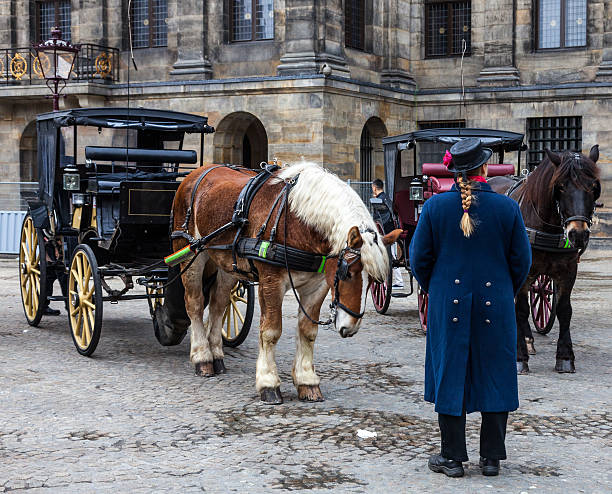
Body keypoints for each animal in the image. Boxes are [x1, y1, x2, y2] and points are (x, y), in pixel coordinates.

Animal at [490, 147, 600, 374]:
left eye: (594, 187)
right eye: (560, 187)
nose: (578, 234)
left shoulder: (568, 271)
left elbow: (564, 310)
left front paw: (565, 357)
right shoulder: (525, 271)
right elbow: (521, 309)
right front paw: (519, 357)